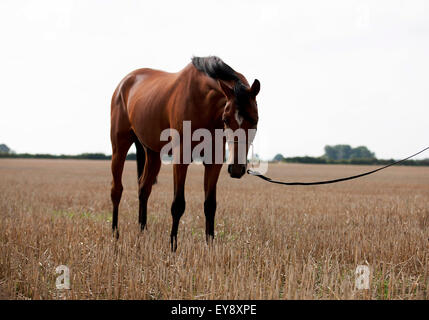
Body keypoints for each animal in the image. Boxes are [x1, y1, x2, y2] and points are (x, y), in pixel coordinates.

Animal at [108, 56, 260, 251]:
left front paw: (210, 246)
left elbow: (210, 205)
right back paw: (115, 233)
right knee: (116, 190)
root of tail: (124, 82)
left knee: (144, 188)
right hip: (119, 147)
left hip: (153, 153)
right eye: (226, 119)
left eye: (255, 120)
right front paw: (173, 246)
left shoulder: (214, 161)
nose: (236, 168)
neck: (203, 101)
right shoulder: (181, 158)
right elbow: (178, 205)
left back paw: (143, 233)